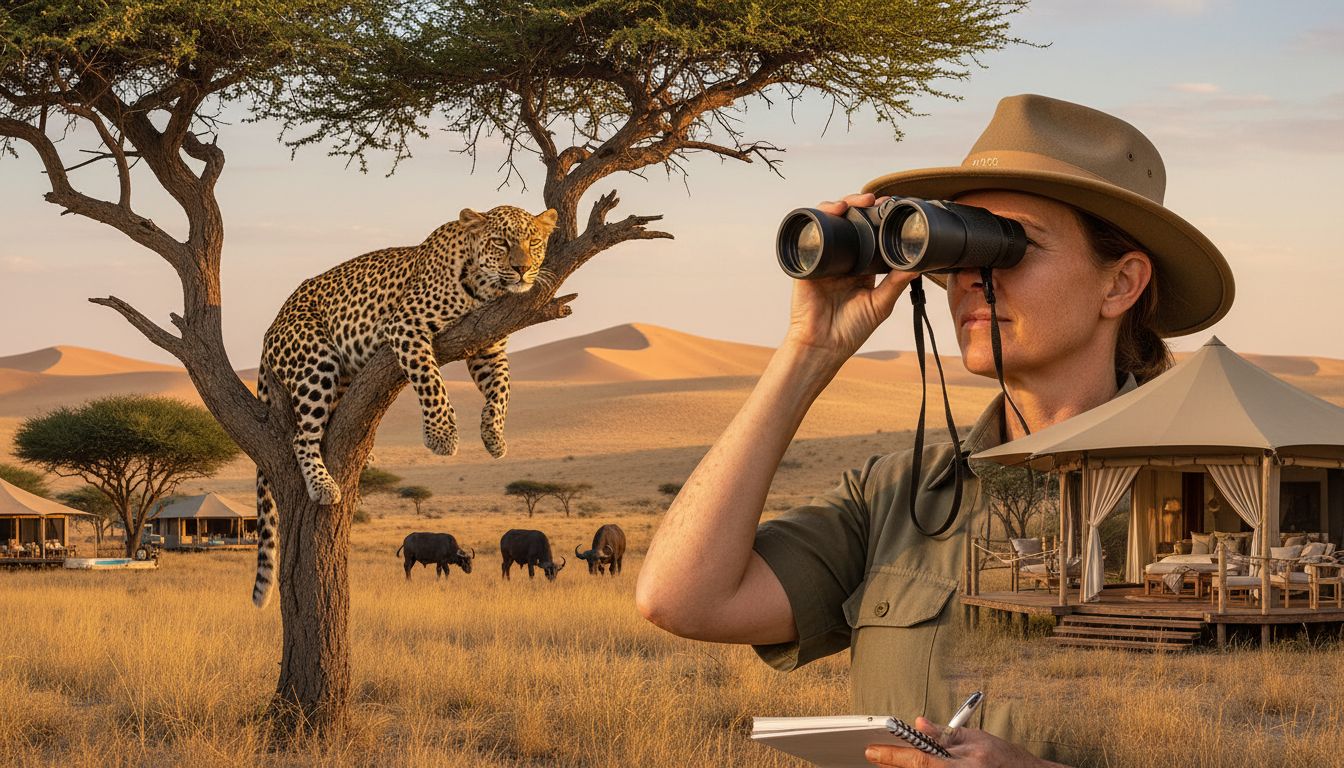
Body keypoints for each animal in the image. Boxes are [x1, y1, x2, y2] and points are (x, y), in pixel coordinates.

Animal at [251, 205, 558, 608]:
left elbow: (503, 390)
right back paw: (323, 485)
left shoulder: (488, 346)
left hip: (342, 380)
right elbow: (430, 380)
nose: (522, 269)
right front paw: (442, 436)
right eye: (501, 243)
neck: (483, 287)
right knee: (301, 436)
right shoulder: (405, 326)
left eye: (533, 242)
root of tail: (272, 326)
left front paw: (494, 436)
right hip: (316, 361)